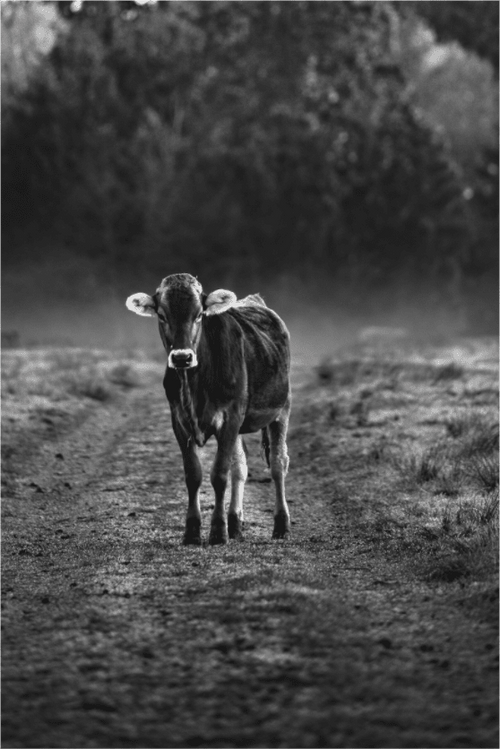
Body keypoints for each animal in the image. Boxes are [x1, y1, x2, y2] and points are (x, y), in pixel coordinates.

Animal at [126, 273, 291, 546]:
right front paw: (193, 531)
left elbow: (219, 474)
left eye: (199, 314)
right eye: (161, 315)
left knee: (278, 465)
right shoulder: (179, 421)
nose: (181, 357)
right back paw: (235, 524)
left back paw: (281, 526)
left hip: (281, 409)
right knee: (241, 468)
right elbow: (194, 474)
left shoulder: (231, 416)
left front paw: (217, 531)